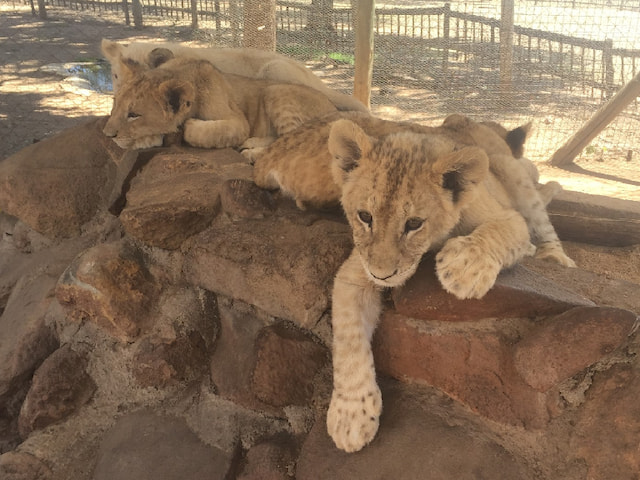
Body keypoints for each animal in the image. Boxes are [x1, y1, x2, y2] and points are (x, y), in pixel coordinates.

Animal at [102, 55, 340, 150]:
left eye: (134, 115)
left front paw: (186, 126)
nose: (107, 135)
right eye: (115, 105)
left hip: (275, 89)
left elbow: (197, 131)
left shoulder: (239, 122)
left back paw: (251, 150)